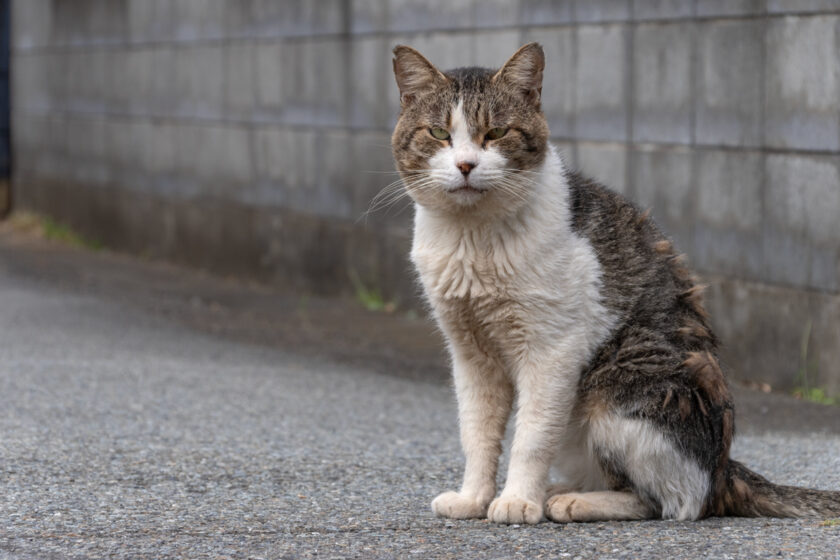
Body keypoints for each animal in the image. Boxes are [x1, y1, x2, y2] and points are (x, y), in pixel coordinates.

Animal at [388, 43, 840, 524]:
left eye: (496, 132)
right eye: (439, 132)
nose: (466, 164)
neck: (473, 238)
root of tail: (723, 469)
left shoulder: (554, 348)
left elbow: (532, 436)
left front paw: (517, 500)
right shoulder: (470, 352)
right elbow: (476, 432)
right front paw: (474, 498)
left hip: (621, 382)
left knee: (672, 502)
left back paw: (570, 501)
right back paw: (564, 488)